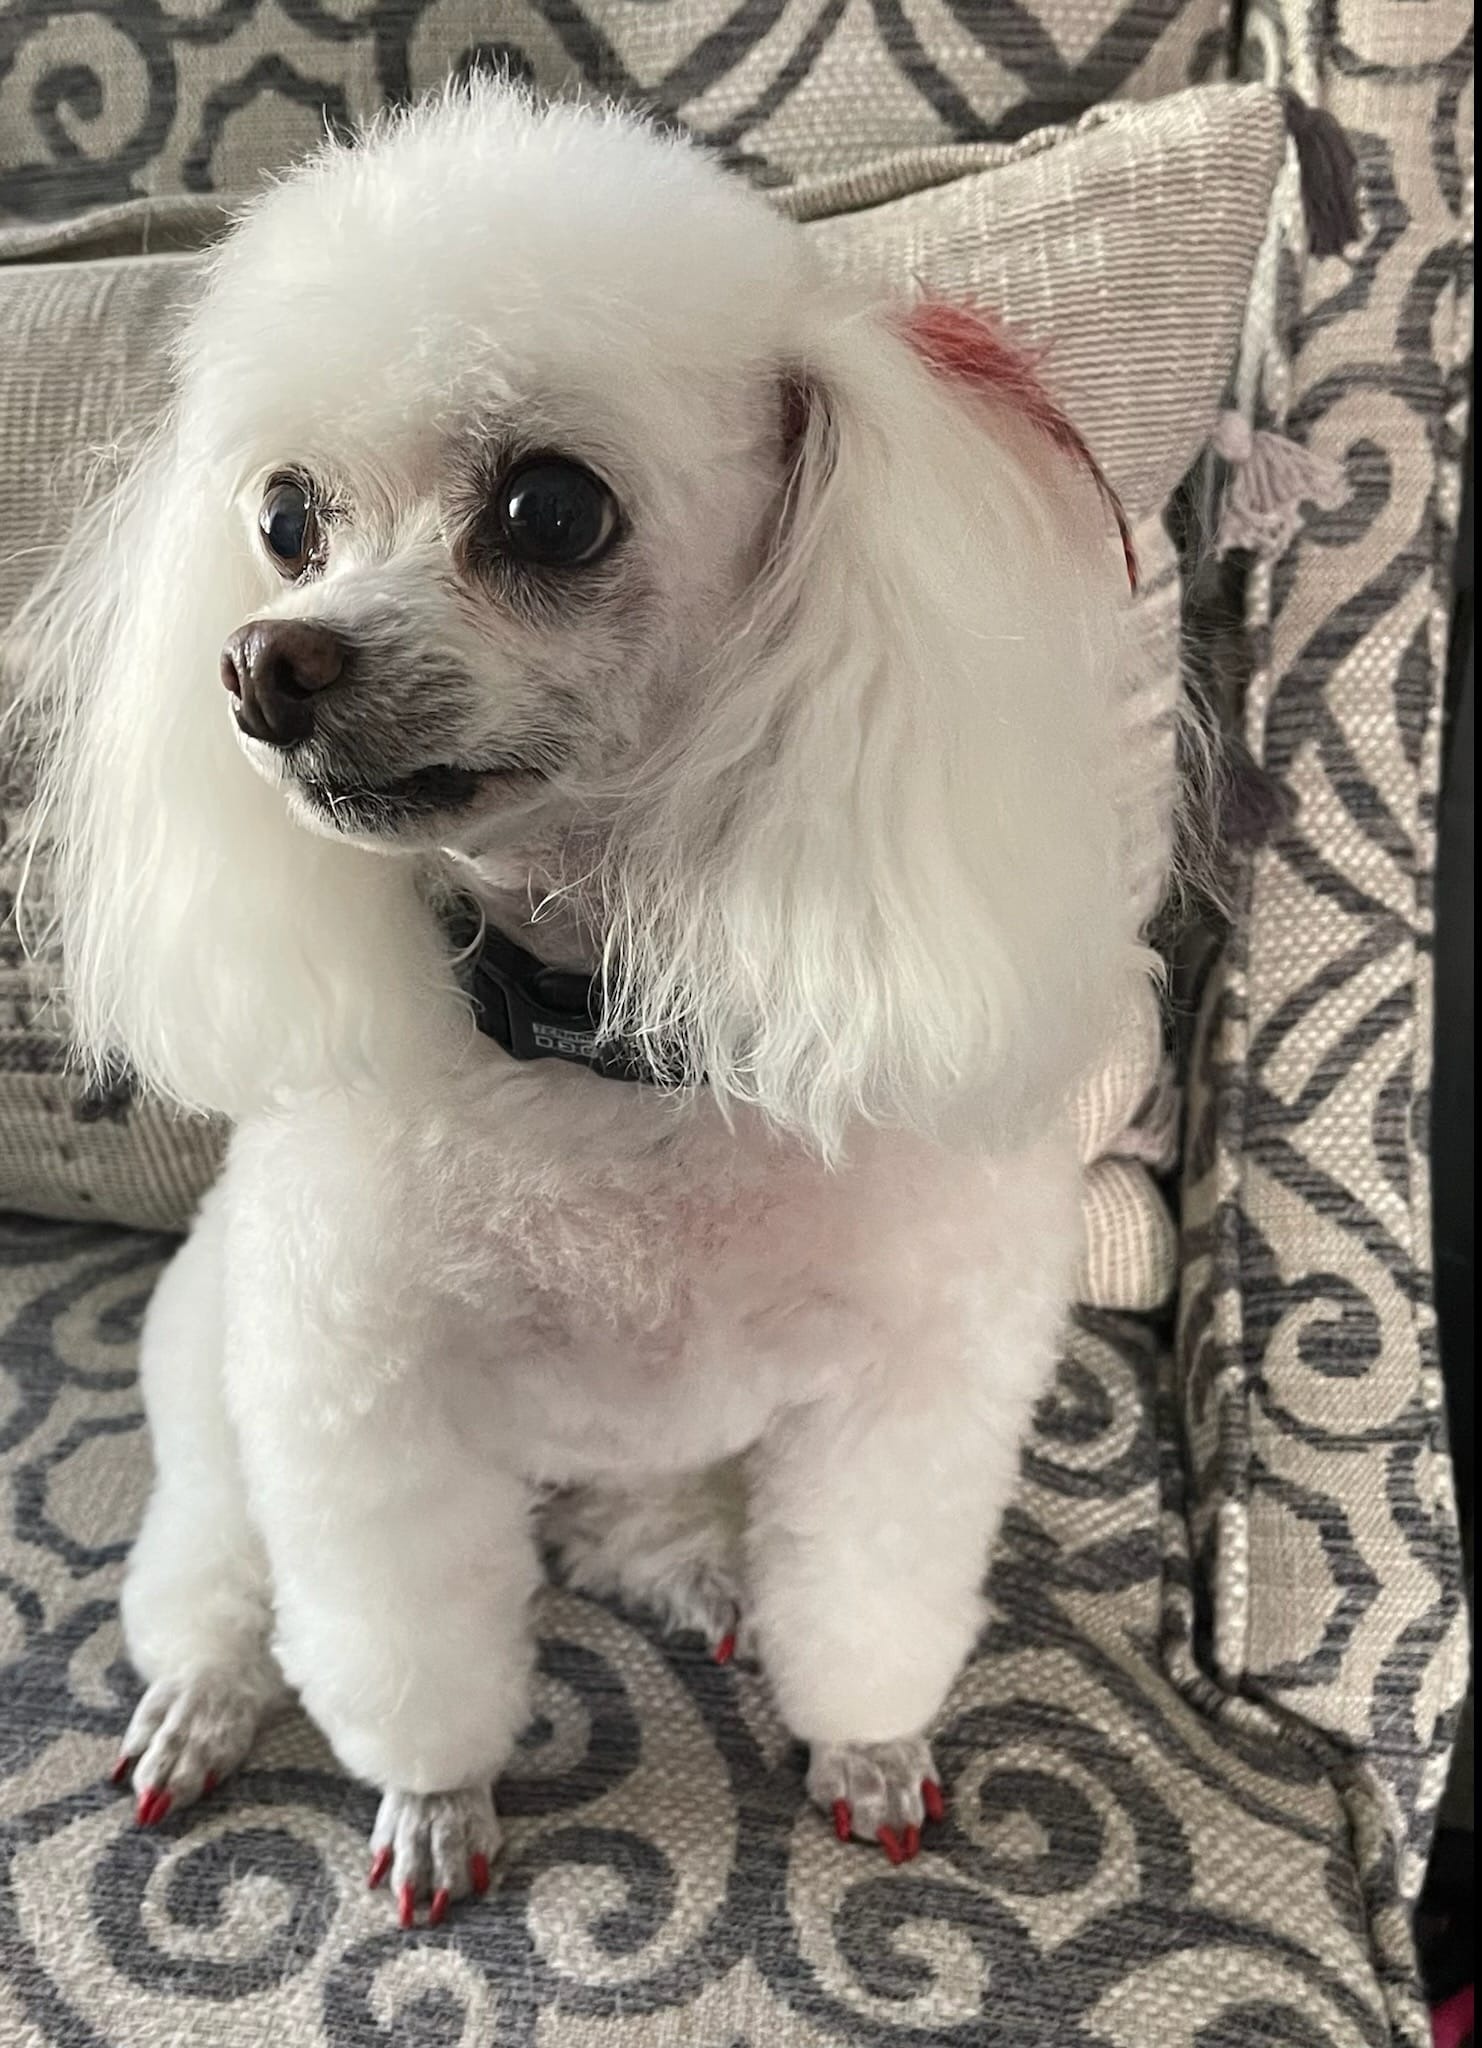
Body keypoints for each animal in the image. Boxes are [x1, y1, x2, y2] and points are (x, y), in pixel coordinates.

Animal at [13, 80, 1151, 1925]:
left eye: (551, 511)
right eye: (286, 519)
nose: (261, 667)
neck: (605, 1047)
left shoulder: (912, 1382)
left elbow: (872, 1591)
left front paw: (865, 1748)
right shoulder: (359, 1391)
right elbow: (400, 1643)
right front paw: (436, 1799)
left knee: (625, 1521)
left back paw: (684, 1562)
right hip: (220, 1370)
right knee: (217, 1566)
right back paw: (206, 1695)